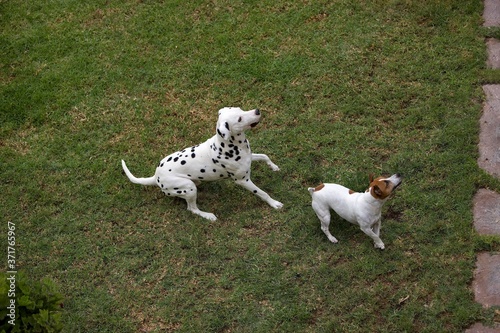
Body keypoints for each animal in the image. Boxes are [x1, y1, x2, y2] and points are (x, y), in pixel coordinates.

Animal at [121, 107, 284, 220]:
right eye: (239, 118)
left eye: (241, 109)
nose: (257, 110)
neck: (231, 145)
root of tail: (156, 177)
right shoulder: (243, 181)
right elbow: (262, 193)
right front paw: (274, 203)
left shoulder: (250, 157)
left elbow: (264, 156)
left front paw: (274, 167)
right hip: (189, 188)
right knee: (192, 209)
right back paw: (207, 215)